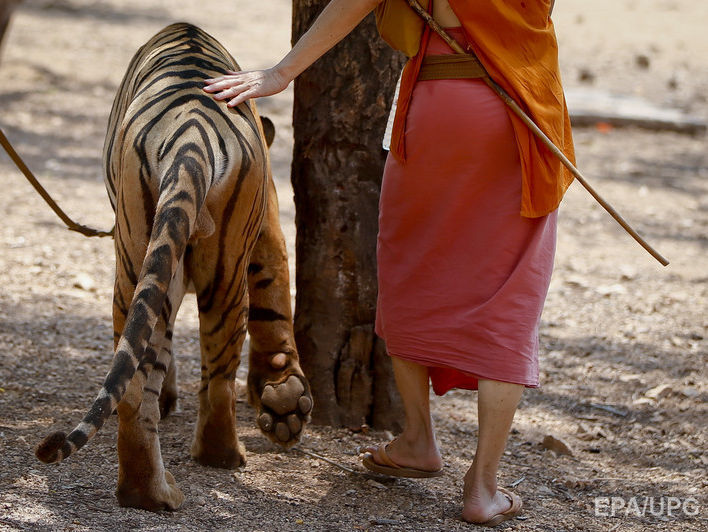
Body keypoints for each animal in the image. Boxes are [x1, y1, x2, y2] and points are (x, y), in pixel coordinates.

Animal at [35, 21, 312, 512]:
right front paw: (282, 398)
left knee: (132, 382)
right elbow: (276, 298)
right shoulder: (268, 228)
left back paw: (149, 491)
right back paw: (222, 456)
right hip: (224, 275)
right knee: (218, 375)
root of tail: (191, 136)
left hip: (136, 261)